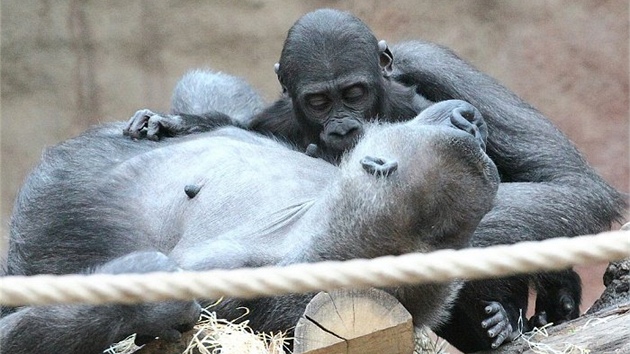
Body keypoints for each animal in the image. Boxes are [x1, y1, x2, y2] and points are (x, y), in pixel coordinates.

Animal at [126, 7, 628, 352]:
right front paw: (176, 123)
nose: (341, 125)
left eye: (353, 93)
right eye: (320, 101)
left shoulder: (420, 80)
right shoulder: (277, 118)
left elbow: (562, 185)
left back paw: (512, 316)